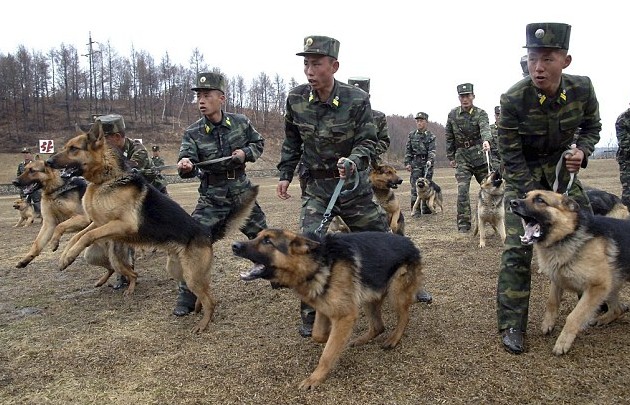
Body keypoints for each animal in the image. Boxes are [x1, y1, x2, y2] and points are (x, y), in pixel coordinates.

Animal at [46, 121, 260, 332]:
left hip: (191, 275)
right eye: (65, 147)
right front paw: (64, 254)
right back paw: (197, 309)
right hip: (178, 271)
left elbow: (86, 236)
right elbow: (76, 235)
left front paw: (68, 256)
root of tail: (207, 232)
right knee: (204, 292)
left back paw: (203, 324)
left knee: (211, 300)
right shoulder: (99, 223)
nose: (48, 162)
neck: (107, 179)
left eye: (73, 149)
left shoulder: (121, 225)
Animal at [232, 227, 424, 388]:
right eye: (256, 236)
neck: (319, 263)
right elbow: (318, 335)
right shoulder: (323, 307)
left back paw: (394, 339)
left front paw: (315, 378)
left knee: (404, 317)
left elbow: (327, 354)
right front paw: (329, 337)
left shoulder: (345, 315)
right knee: (378, 326)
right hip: (370, 297)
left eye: (267, 241)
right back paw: (361, 339)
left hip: (395, 293)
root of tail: (410, 243)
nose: (234, 245)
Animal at [512, 189, 630, 354]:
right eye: (524, 196)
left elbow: (574, 316)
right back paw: (603, 319)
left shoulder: (596, 287)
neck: (567, 234)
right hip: (612, 284)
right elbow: (551, 302)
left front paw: (563, 342)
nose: (512, 202)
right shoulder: (557, 280)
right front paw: (548, 324)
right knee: (618, 309)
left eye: (540, 200)